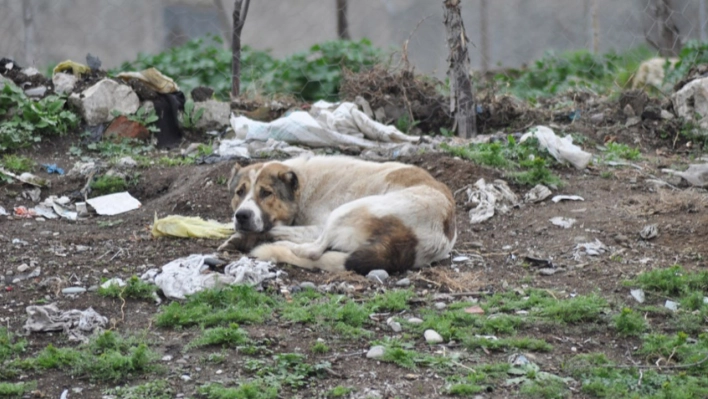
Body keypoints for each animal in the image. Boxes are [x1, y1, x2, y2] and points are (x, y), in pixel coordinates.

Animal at [218, 155, 456, 276]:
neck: (303, 185)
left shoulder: (317, 224)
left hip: (344, 210)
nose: (242, 216)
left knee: (312, 250)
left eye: (266, 193)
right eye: (239, 192)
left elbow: (278, 229)